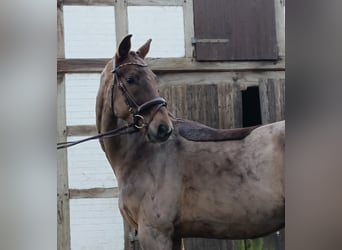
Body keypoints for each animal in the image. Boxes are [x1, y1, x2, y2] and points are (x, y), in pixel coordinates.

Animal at [95, 34, 284, 250]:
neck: (140, 156)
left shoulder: (154, 233)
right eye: (130, 79)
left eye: (154, 78)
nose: (163, 128)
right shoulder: (174, 236)